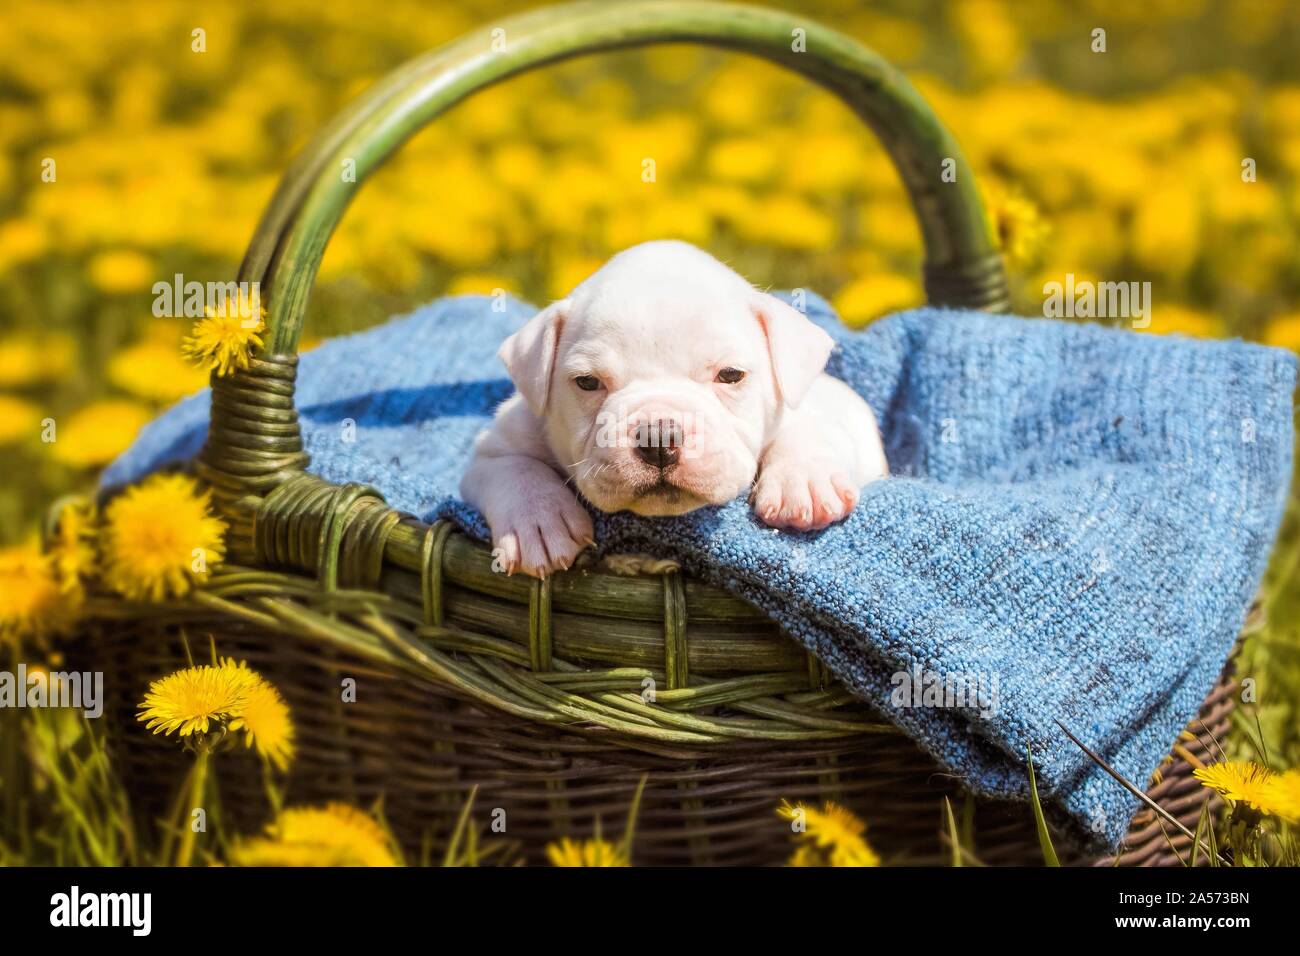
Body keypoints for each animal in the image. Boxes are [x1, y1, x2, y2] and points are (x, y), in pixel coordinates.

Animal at [462, 243, 889, 580]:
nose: (657, 439)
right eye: (587, 382)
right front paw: (536, 522)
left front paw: (803, 482)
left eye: (730, 375)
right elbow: (512, 468)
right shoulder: (496, 446)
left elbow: (808, 429)